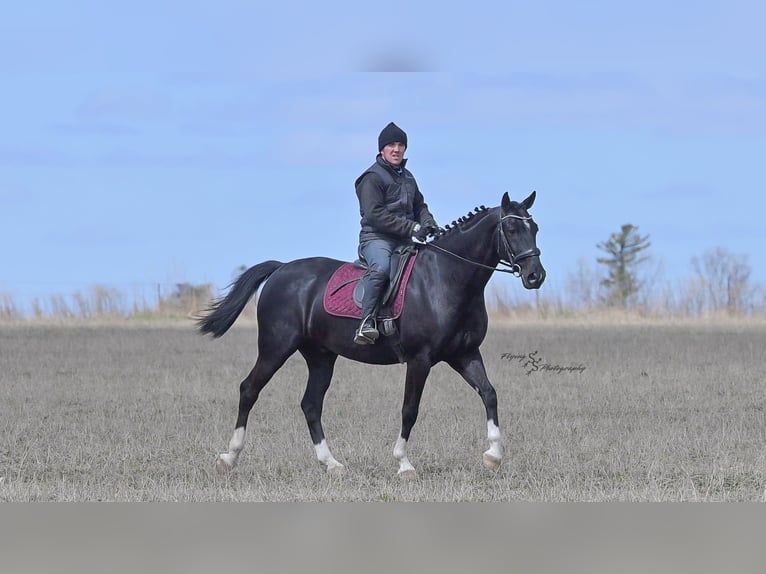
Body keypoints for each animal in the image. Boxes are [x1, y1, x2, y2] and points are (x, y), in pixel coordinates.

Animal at [197, 191, 545, 477]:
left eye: (536, 228)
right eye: (512, 230)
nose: (535, 276)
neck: (446, 278)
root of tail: (282, 268)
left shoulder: (465, 354)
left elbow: (489, 393)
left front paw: (494, 455)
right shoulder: (420, 360)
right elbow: (410, 409)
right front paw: (404, 464)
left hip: (321, 357)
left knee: (311, 404)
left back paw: (331, 464)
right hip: (275, 348)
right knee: (249, 390)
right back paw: (229, 457)